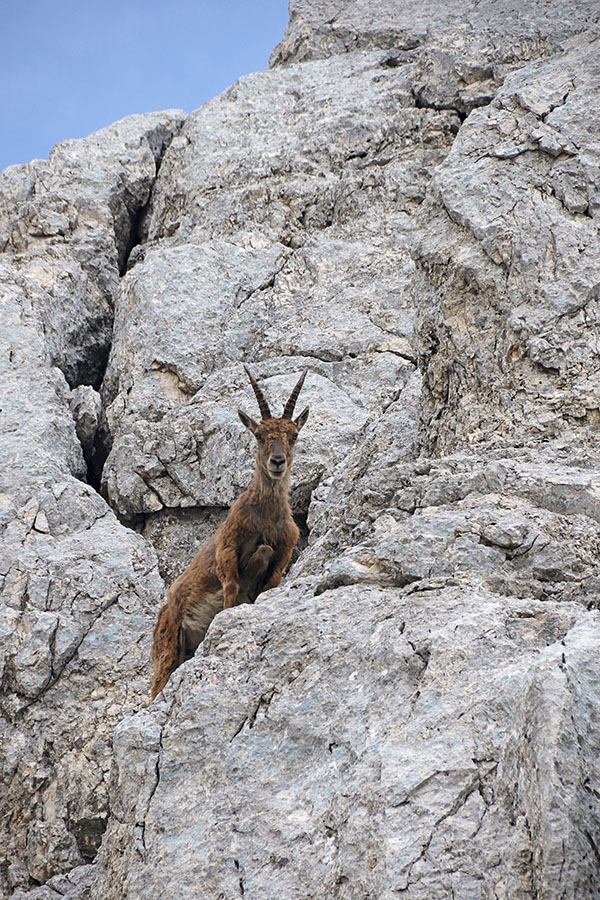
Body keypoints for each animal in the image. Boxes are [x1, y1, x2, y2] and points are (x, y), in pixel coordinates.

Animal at [150, 367, 309, 698]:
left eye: (294, 435)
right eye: (259, 435)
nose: (277, 462)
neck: (266, 518)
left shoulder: (281, 557)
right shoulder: (227, 552)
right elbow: (231, 588)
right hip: (169, 647)